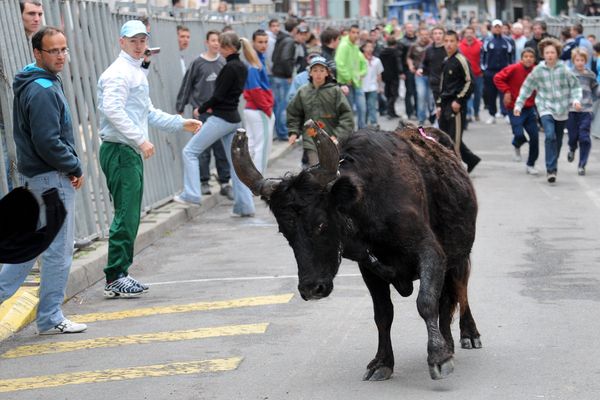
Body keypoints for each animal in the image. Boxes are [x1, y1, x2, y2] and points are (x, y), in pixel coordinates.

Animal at [231, 123, 482, 382]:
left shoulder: (430, 251)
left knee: (459, 292)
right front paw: (382, 362)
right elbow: (383, 315)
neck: (368, 203)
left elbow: (426, 302)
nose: (311, 289)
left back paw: (467, 335)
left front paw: (439, 356)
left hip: (459, 258)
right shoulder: (370, 270)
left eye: (321, 223)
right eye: (284, 231)